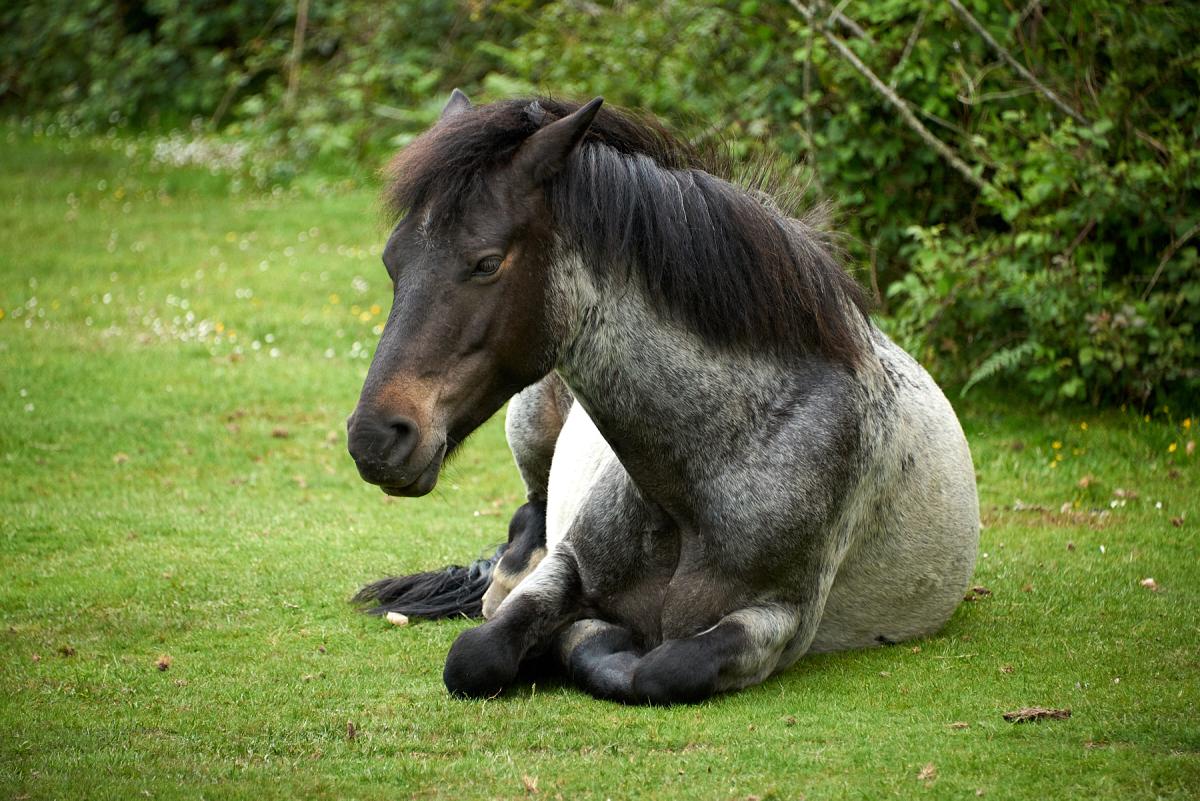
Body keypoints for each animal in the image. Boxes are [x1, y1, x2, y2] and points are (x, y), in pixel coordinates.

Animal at [347, 90, 980, 704]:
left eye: (486, 263)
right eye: (392, 260)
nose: (374, 438)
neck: (704, 476)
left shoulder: (778, 622)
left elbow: (662, 671)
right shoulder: (570, 566)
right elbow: (476, 654)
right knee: (529, 514)